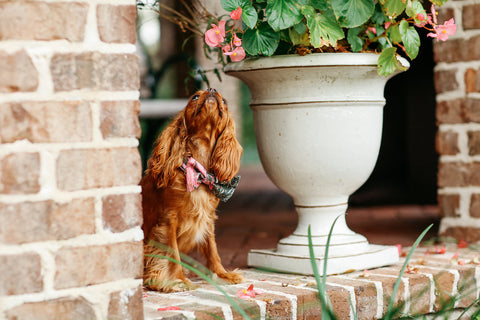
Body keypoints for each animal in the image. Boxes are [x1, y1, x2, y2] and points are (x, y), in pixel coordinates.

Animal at [141, 88, 242, 292]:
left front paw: (222, 275)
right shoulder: (168, 220)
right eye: (194, 97)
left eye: (224, 101)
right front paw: (177, 280)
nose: (212, 90)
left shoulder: (207, 218)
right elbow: (172, 254)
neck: (199, 170)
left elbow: (213, 250)